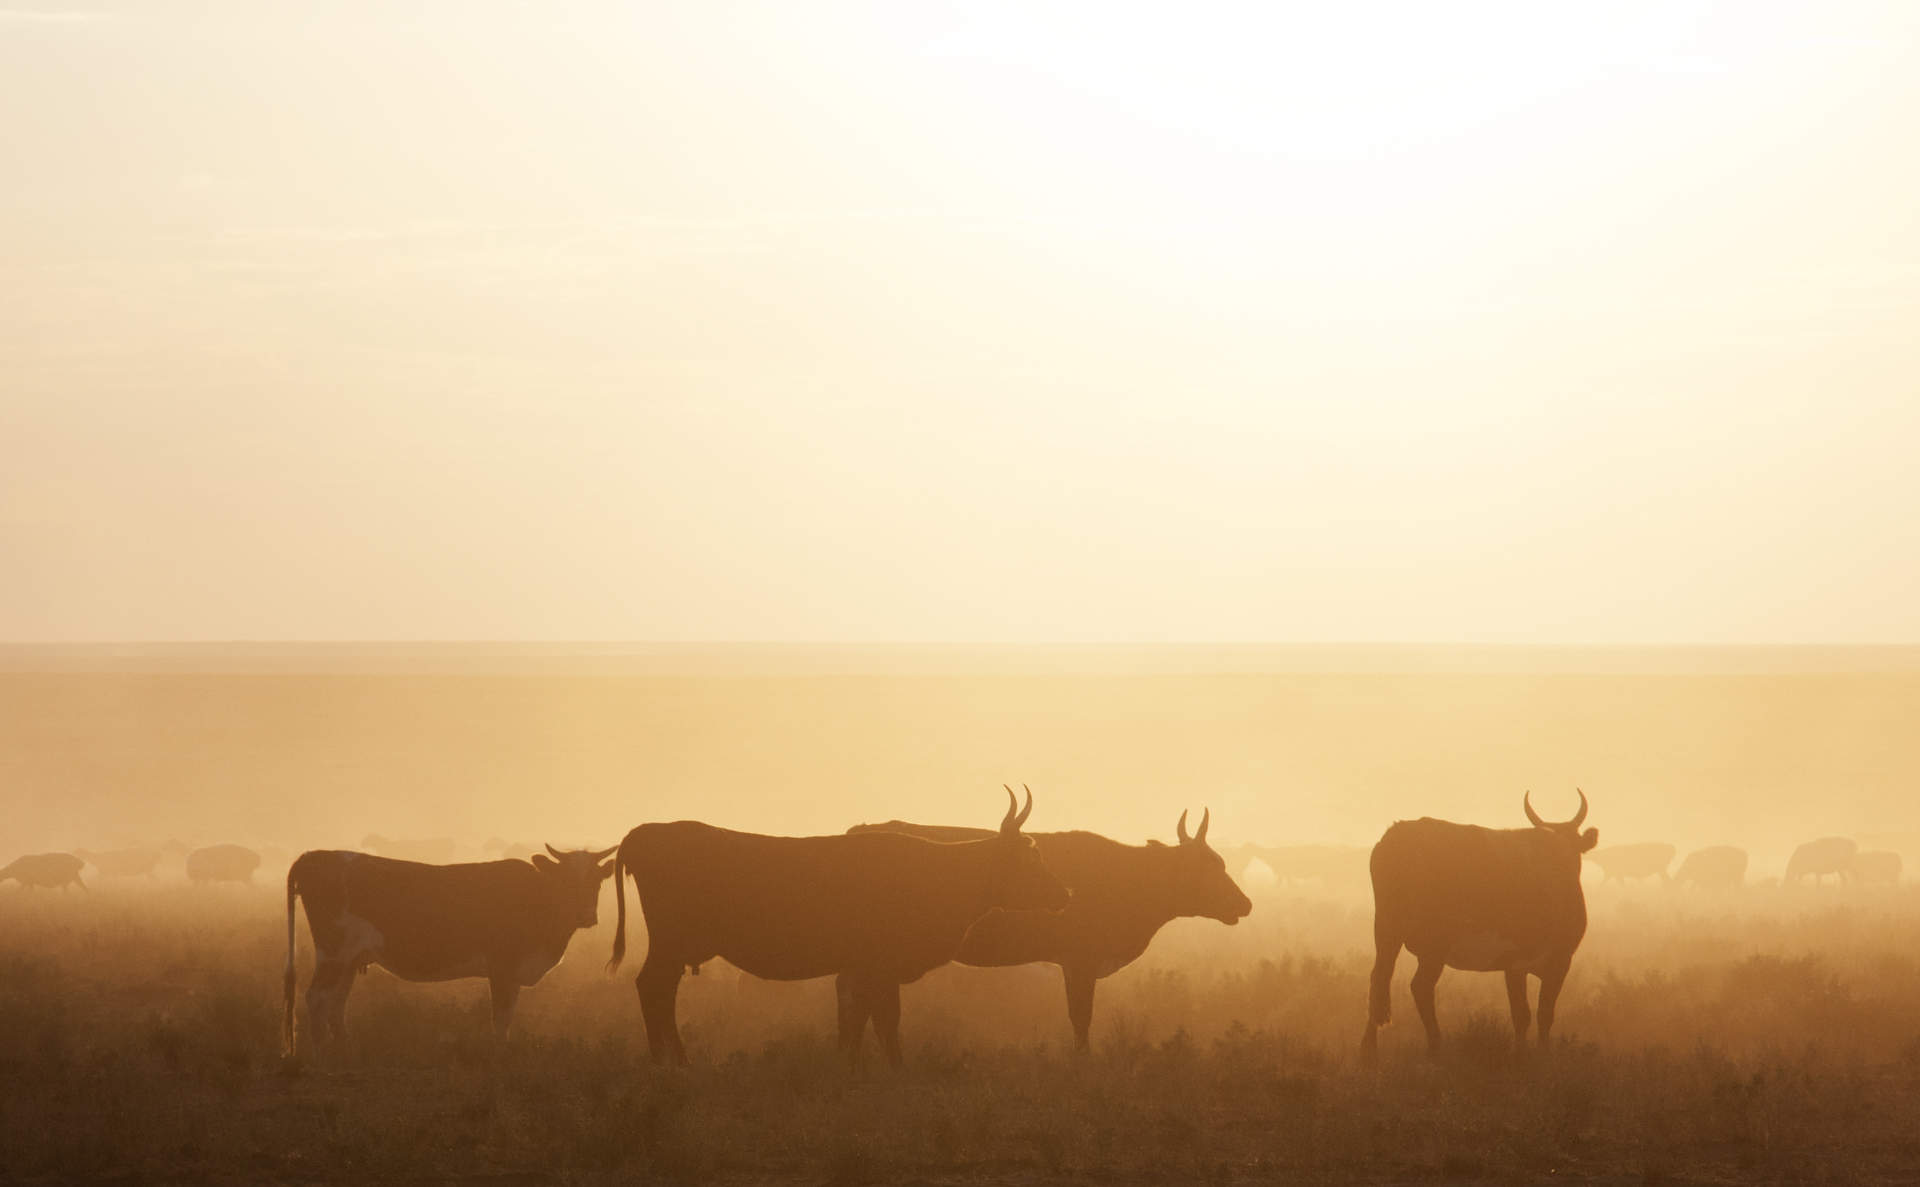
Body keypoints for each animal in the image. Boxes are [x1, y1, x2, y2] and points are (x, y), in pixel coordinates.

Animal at [282, 844, 616, 1056]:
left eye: (596, 881)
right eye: (567, 880)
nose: (586, 916)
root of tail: (314, 857)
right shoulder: (502, 967)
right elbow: (501, 1016)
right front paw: (501, 1054)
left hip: (349, 960)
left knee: (337, 1003)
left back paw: (344, 1049)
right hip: (333, 953)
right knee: (317, 997)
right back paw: (321, 1053)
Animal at [607, 786, 1069, 1068]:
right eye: (1031, 856)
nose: (1064, 893)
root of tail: (641, 834)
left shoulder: (864, 969)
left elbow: (859, 1018)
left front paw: (850, 1064)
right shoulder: (879, 967)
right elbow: (885, 1019)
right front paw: (895, 1068)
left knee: (659, 991)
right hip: (671, 943)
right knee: (653, 989)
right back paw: (669, 1061)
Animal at [1361, 790, 1598, 1060]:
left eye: (1573, 846)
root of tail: (1398, 833)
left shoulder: (1541, 963)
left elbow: (1537, 1013)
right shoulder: (1536, 961)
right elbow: (1529, 1013)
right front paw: (1529, 1055)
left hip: (1388, 931)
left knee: (1380, 979)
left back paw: (1370, 1052)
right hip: (1433, 943)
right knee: (1417, 986)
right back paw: (1435, 1047)